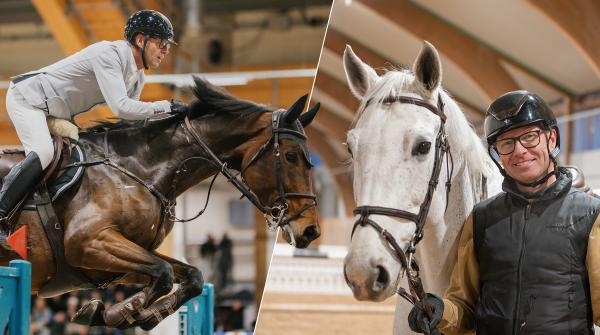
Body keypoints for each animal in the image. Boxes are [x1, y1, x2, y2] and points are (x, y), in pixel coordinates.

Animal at [0, 78, 322, 330]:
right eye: (291, 156)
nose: (311, 230)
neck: (139, 169)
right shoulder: (88, 243)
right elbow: (165, 274)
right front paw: (115, 312)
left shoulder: (115, 263)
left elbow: (189, 276)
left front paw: (132, 315)